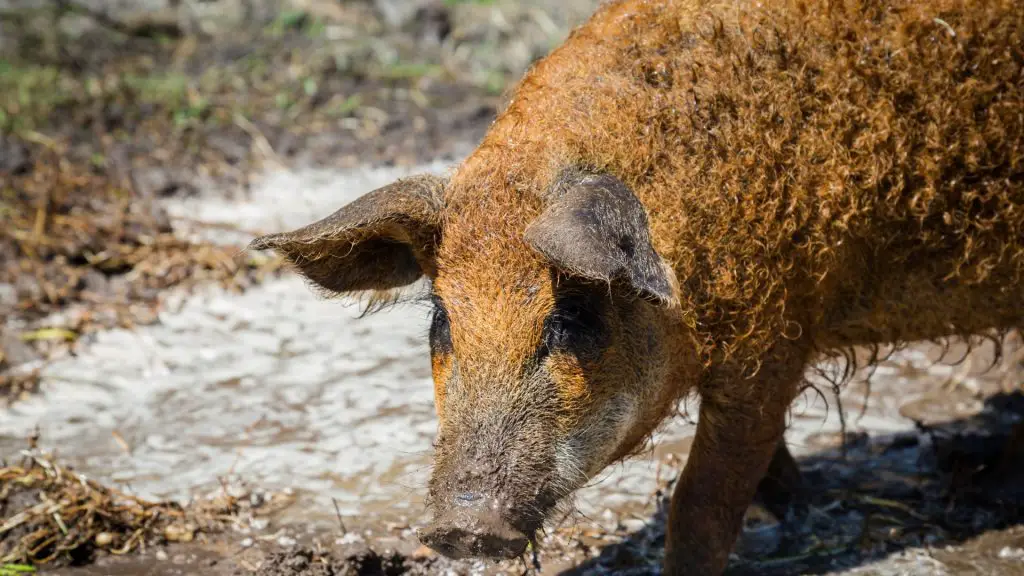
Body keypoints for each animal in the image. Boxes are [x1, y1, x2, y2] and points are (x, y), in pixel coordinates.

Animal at [249, 0, 1024, 569]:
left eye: (567, 317)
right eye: (441, 319)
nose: (464, 530)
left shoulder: (774, 342)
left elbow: (702, 504)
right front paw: (796, 501)